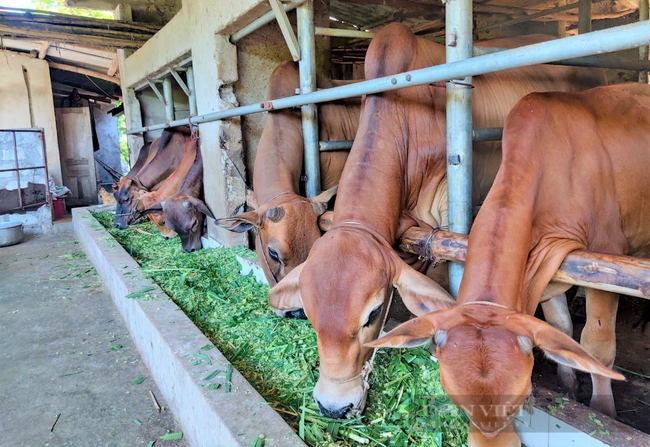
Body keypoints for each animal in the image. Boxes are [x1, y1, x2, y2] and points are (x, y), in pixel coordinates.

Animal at [370, 82, 648, 446]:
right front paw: (568, 385)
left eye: (520, 397)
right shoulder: (544, 263)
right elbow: (560, 328)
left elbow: (596, 346)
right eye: (457, 400)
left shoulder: (605, 257)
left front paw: (603, 411)